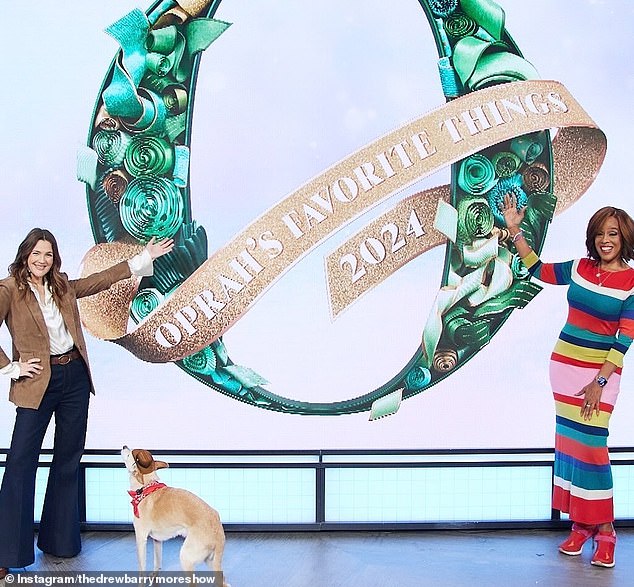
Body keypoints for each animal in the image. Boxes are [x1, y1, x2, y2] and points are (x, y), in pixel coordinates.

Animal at [120, 446, 227, 584]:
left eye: (129, 454)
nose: (124, 446)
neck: (146, 488)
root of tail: (218, 529)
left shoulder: (141, 538)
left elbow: (141, 567)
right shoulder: (157, 541)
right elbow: (157, 561)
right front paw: (154, 575)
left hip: (186, 557)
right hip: (210, 561)